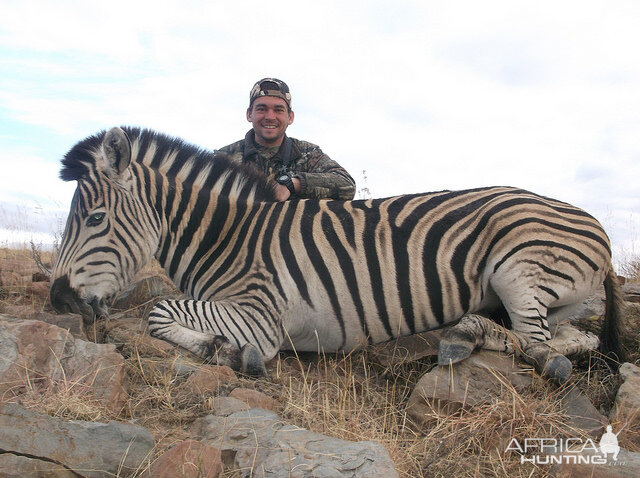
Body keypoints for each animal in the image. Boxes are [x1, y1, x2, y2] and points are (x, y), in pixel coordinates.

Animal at [51, 126, 624, 380]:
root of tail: (595, 224)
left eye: (95, 219)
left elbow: (157, 310)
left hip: (519, 268)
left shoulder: (261, 316)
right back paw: (464, 333)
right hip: (546, 295)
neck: (229, 237)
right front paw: (217, 347)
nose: (58, 300)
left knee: (542, 347)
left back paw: (466, 338)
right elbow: (161, 315)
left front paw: (228, 352)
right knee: (575, 339)